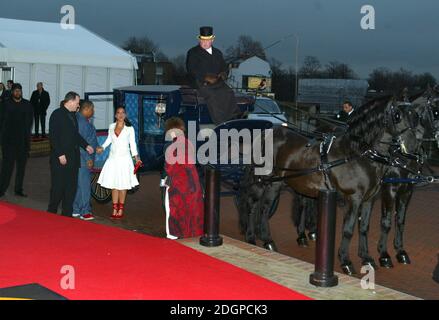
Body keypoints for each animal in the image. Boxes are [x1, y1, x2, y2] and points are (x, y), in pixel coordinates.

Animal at [239, 94, 422, 272]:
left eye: (416, 116)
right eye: (397, 116)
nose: (413, 145)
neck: (357, 154)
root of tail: (268, 133)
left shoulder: (369, 199)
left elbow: (364, 227)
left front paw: (367, 258)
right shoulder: (353, 198)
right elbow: (348, 229)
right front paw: (346, 261)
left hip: (276, 183)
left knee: (263, 207)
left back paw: (263, 238)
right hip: (264, 182)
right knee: (255, 206)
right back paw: (255, 238)